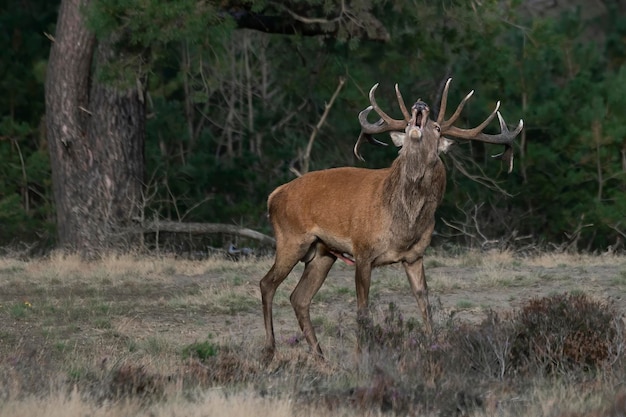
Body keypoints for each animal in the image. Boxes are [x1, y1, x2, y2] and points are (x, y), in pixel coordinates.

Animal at [258, 79, 520, 360]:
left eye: (437, 127)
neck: (403, 225)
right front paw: (362, 353)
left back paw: (320, 356)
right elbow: (363, 309)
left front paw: (434, 345)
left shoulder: (415, 256)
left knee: (299, 297)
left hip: (322, 253)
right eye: (405, 125)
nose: (420, 104)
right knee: (267, 284)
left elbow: (425, 304)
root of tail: (273, 196)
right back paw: (270, 350)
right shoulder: (363, 251)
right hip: (291, 239)